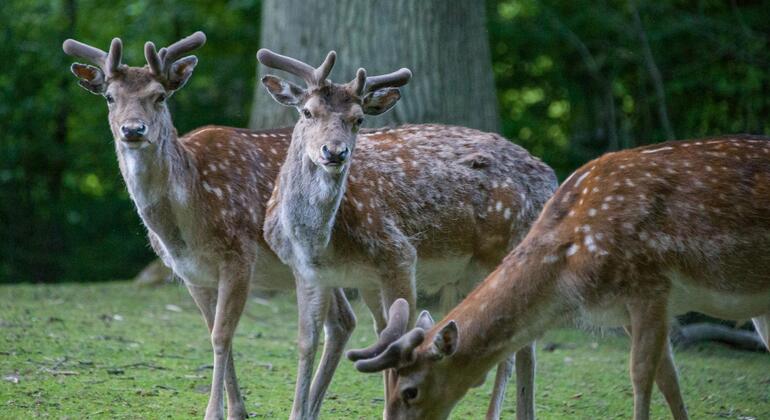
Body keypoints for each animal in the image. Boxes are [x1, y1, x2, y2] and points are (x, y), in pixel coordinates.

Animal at [62, 32, 363, 420]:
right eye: (110, 97)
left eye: (159, 96)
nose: (132, 130)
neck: (188, 221)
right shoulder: (190, 273)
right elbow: (214, 332)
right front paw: (237, 410)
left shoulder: (239, 255)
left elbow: (222, 334)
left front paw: (214, 411)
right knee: (343, 321)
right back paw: (309, 408)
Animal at [256, 49, 558, 420]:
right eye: (307, 112)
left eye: (359, 119)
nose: (335, 152)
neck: (319, 241)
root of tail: (551, 178)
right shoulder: (312, 272)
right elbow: (308, 340)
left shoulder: (397, 253)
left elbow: (397, 341)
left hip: (510, 252)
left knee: (525, 346)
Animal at [349, 135, 770, 420]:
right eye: (390, 387)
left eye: (410, 391)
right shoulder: (629, 308)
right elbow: (671, 380)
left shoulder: (650, 285)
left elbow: (641, 376)